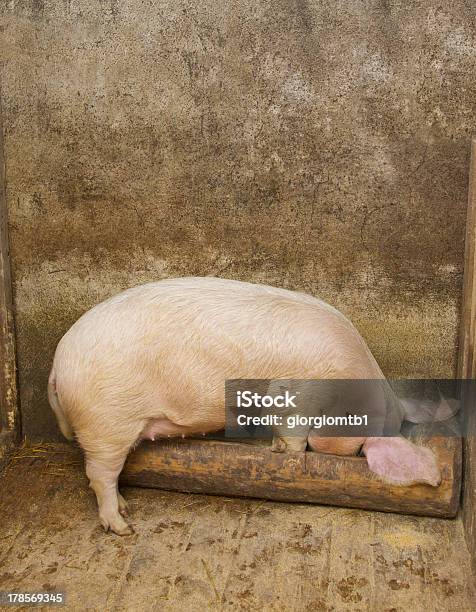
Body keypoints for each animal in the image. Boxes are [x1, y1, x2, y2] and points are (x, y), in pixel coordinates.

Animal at [48, 274, 454, 532]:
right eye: (358, 449)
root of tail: (57, 365)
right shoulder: (295, 397)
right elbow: (294, 436)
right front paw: (287, 455)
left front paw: (273, 449)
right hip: (106, 424)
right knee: (99, 476)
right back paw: (123, 526)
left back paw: (126, 508)